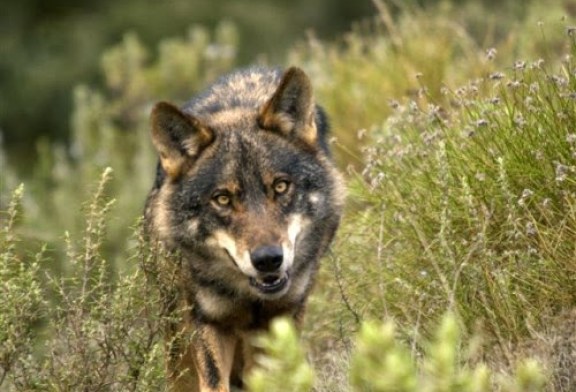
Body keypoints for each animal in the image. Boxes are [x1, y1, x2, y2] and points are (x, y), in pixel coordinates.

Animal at [144, 66, 344, 390]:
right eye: (223, 199)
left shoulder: (282, 318)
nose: (268, 260)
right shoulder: (208, 323)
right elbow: (215, 382)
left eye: (280, 186)